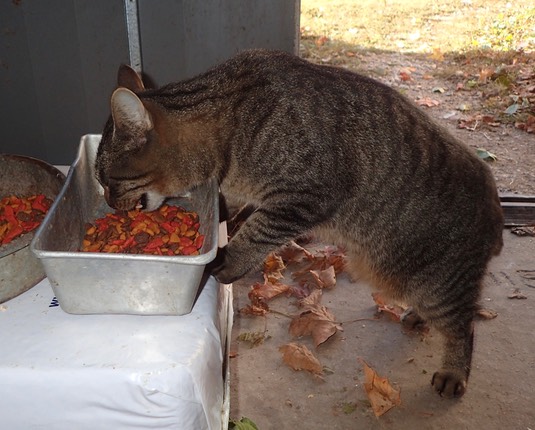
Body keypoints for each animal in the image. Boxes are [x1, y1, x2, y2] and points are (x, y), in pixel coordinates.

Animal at [95, 49, 504, 399]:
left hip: (438, 284)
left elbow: (255, 235)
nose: (109, 202)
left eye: (109, 180)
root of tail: (496, 202)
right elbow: (238, 213)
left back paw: (454, 371)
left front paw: (228, 260)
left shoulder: (301, 199)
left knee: (463, 325)